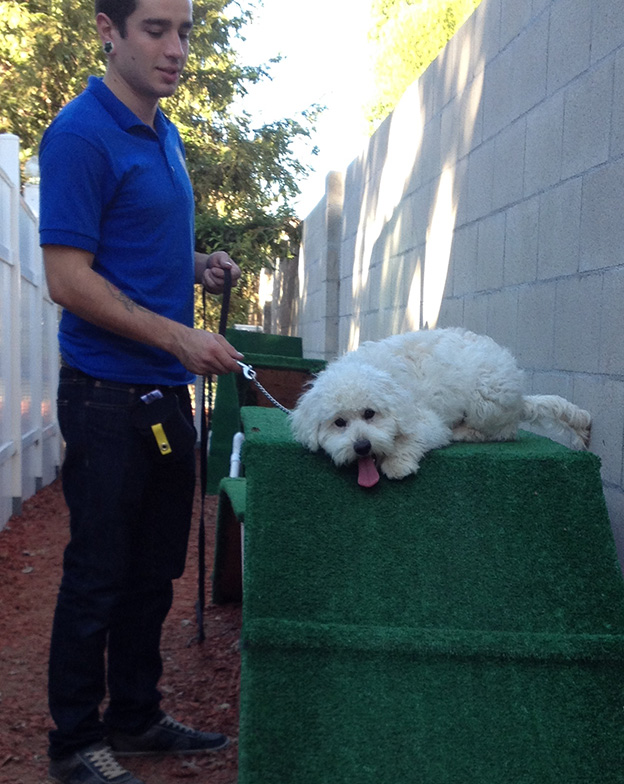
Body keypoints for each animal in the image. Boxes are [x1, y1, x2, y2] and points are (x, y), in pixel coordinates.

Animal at [290, 328, 592, 486]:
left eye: (369, 413)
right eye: (339, 422)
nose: (362, 446)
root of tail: (520, 399)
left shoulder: (426, 421)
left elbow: (411, 439)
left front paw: (398, 464)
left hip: (486, 400)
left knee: (503, 432)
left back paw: (463, 431)